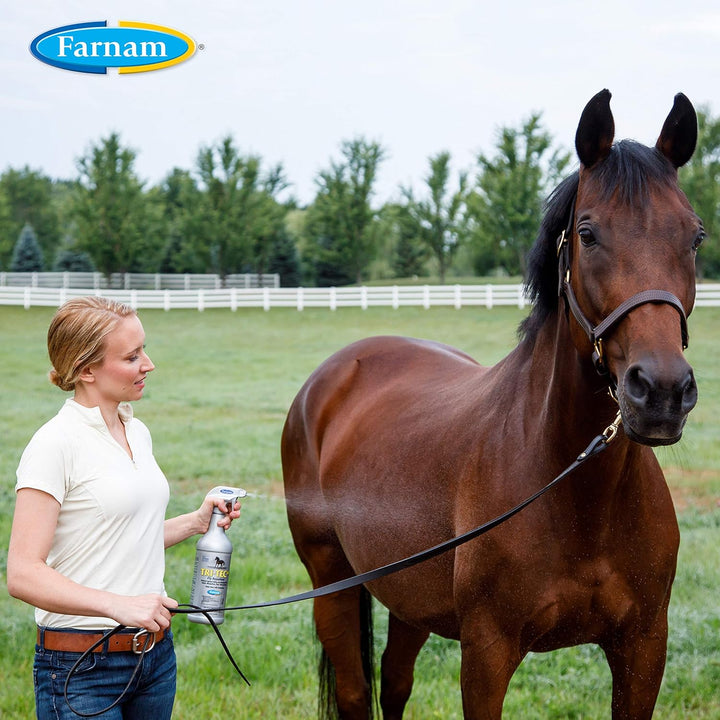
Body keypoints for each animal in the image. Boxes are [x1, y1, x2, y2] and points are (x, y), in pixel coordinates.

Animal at [281, 89, 702, 719]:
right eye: (587, 233)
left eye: (694, 236)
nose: (663, 392)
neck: (574, 491)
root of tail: (331, 376)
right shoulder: (487, 653)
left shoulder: (644, 647)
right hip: (331, 580)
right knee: (357, 694)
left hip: (409, 597)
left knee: (394, 682)